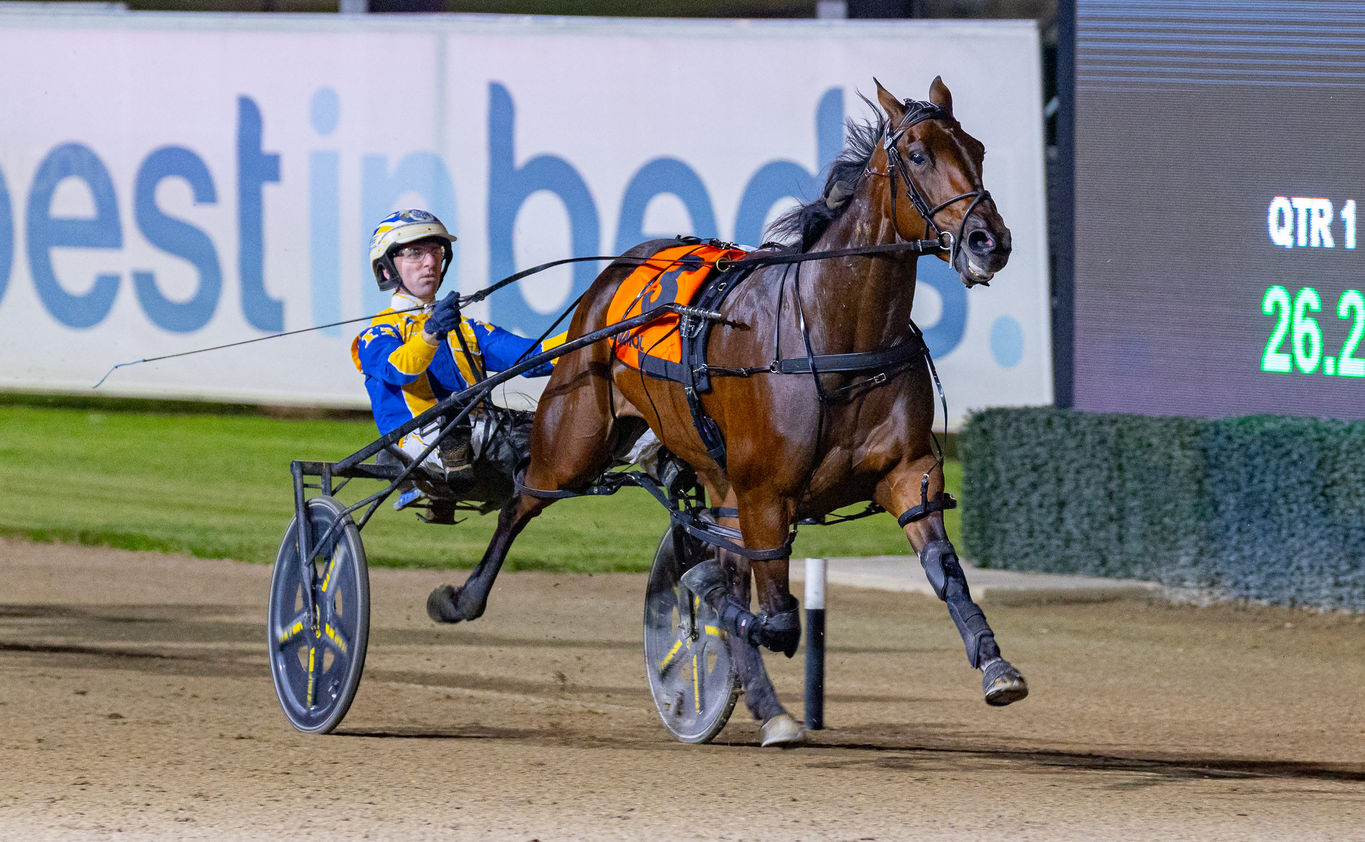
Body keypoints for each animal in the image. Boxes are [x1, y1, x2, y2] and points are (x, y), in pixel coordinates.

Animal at [427, 77, 1027, 746]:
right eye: (919, 155)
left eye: (977, 149)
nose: (989, 241)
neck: (831, 336)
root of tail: (620, 269)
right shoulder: (765, 495)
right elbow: (776, 616)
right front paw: (702, 589)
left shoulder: (905, 472)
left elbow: (943, 569)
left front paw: (995, 663)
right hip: (576, 437)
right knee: (521, 501)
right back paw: (460, 599)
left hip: (715, 479)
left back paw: (764, 701)